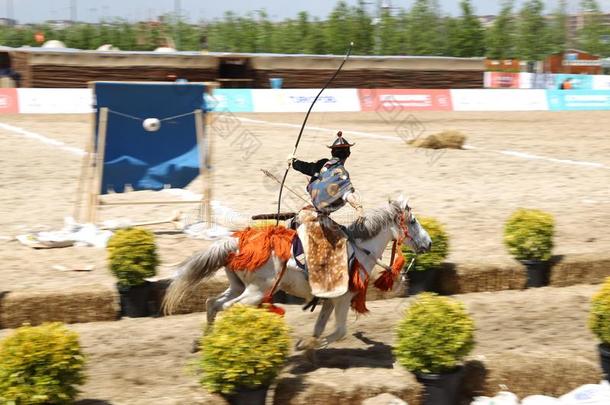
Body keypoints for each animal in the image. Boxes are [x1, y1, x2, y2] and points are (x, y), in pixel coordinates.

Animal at [162, 197, 428, 348]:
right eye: (413, 221)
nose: (429, 243)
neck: (359, 249)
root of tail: (237, 242)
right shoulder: (343, 299)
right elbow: (340, 331)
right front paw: (307, 345)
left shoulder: (329, 301)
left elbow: (320, 327)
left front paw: (308, 344)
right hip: (256, 291)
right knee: (227, 307)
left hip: (238, 285)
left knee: (212, 303)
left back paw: (203, 341)